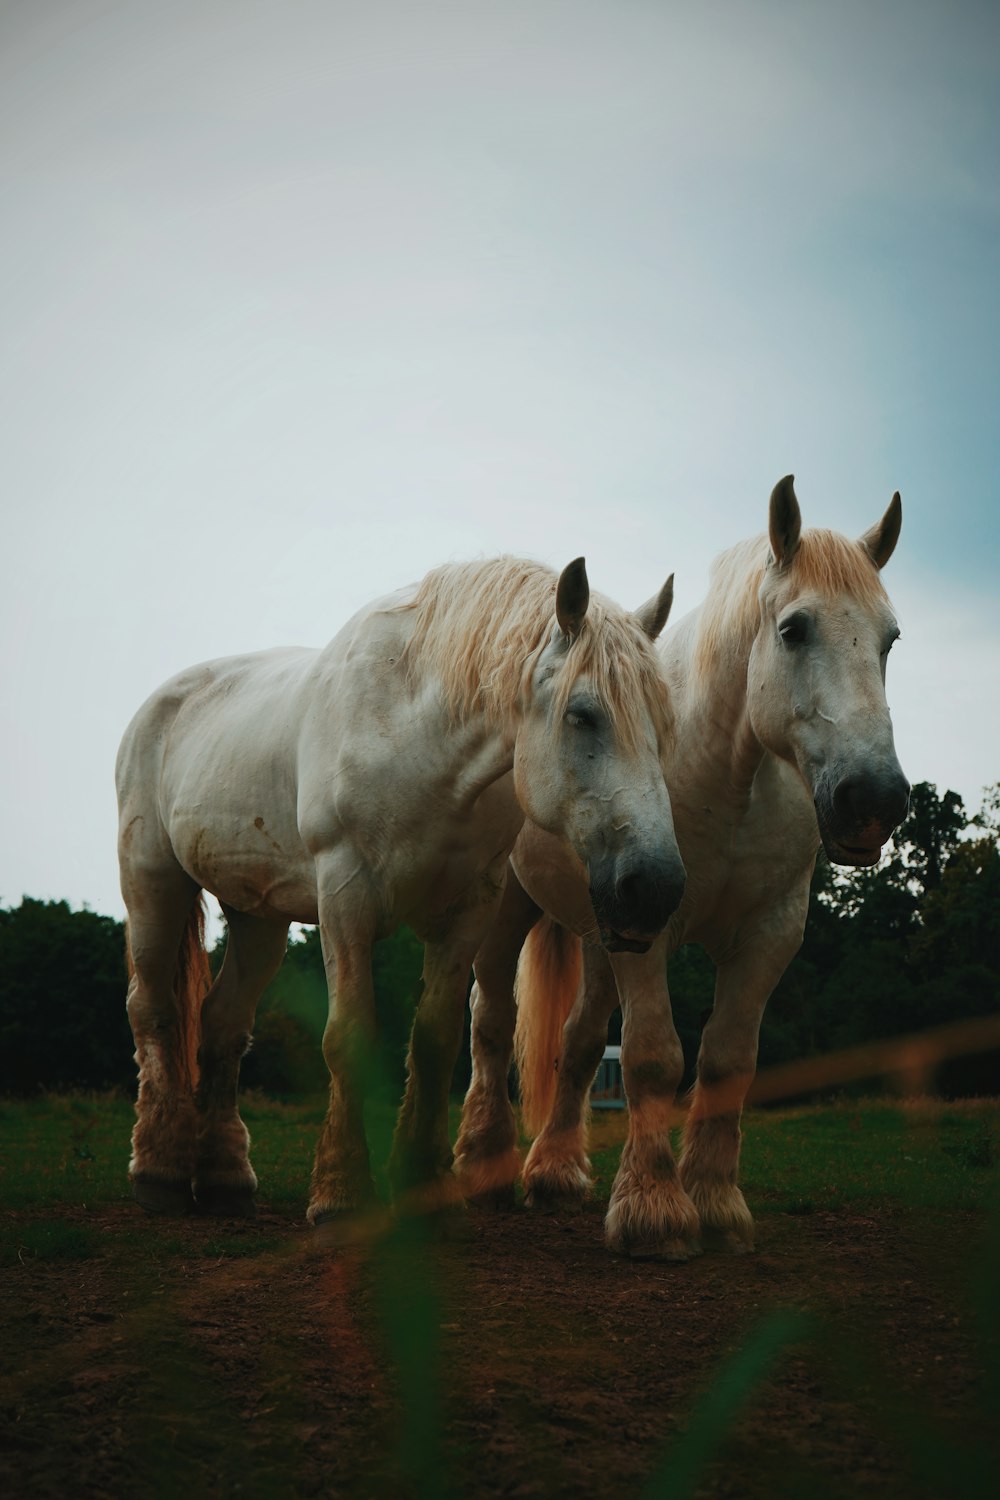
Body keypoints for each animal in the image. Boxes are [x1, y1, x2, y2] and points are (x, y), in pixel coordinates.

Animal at [113, 552, 683, 1218]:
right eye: (582, 715)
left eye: (663, 724)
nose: (656, 886)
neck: (415, 736)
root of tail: (159, 704)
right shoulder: (344, 896)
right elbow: (349, 1036)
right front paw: (340, 1192)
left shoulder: (471, 908)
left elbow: (435, 1038)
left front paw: (422, 1184)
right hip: (152, 883)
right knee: (153, 1011)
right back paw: (159, 1170)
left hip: (258, 918)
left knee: (223, 1022)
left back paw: (225, 1175)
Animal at [458, 477, 911, 1254]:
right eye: (794, 629)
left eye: (890, 639)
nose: (873, 800)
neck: (726, 782)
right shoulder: (653, 924)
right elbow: (652, 1057)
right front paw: (654, 1212)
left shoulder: (767, 934)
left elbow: (727, 1061)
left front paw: (716, 1204)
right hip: (514, 910)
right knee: (490, 1020)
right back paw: (486, 1168)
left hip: (602, 932)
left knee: (578, 1041)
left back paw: (554, 1171)